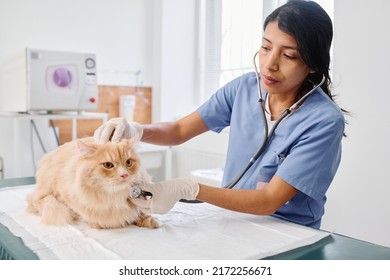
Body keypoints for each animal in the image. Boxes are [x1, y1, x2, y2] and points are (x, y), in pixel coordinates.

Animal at [26, 136, 158, 230]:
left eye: (129, 162)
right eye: (108, 165)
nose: (124, 175)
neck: (115, 198)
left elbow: (140, 212)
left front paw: (149, 220)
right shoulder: (63, 196)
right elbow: (80, 212)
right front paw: (97, 223)